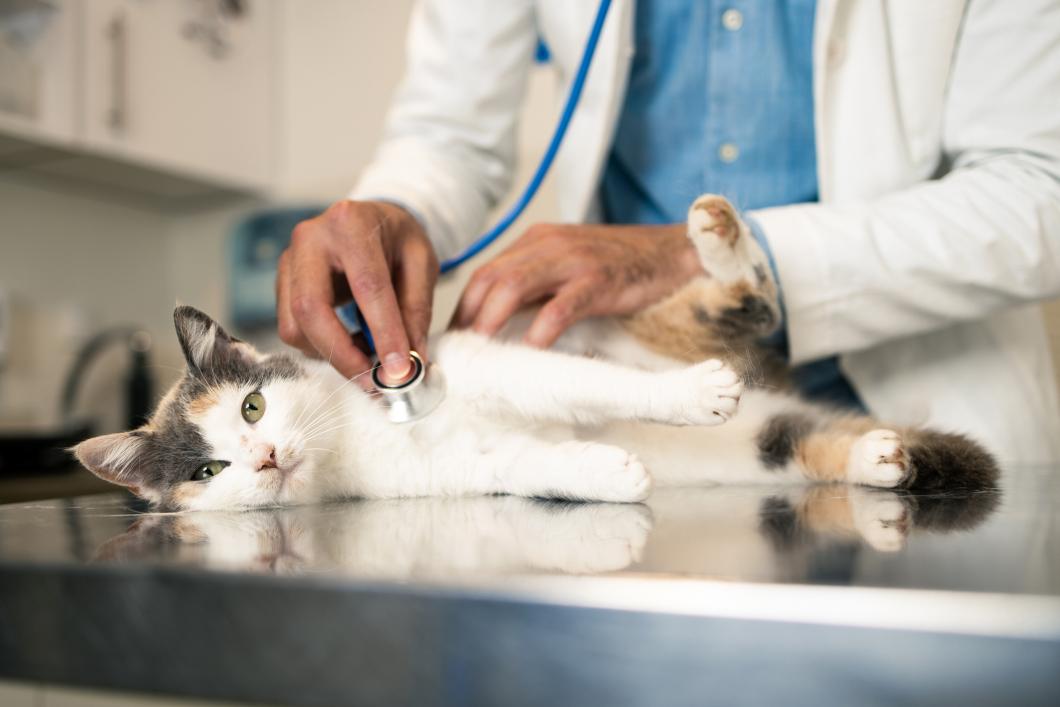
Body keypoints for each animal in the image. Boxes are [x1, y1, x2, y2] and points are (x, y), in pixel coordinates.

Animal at [70, 196, 996, 510]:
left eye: (253, 404)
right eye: (208, 471)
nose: (263, 456)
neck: (351, 435)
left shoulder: (495, 359)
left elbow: (579, 382)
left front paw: (688, 399)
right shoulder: (448, 473)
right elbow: (522, 463)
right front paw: (609, 471)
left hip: (631, 324)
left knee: (749, 302)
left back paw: (720, 237)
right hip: (763, 453)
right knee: (798, 439)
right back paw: (879, 457)